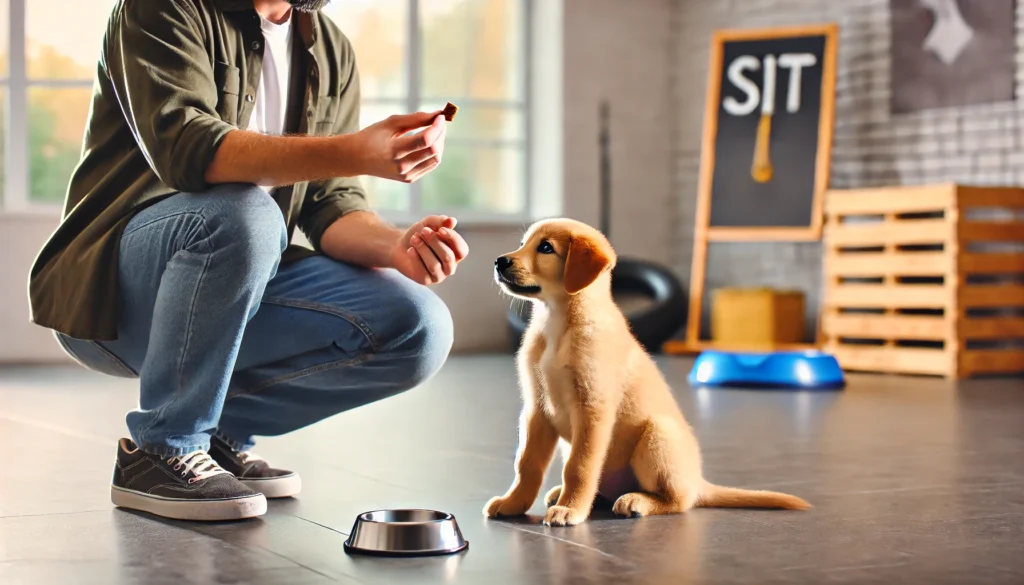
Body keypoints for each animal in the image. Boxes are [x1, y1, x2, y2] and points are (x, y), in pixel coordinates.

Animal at [483, 218, 811, 524]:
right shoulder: (536, 409)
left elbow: (579, 467)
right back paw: (564, 494)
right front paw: (513, 503)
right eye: (523, 243)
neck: (558, 323)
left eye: (546, 247)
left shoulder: (592, 409)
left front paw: (570, 509)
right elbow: (527, 465)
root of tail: (699, 482)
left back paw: (636, 501)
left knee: (678, 500)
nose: (500, 261)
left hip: (656, 435)